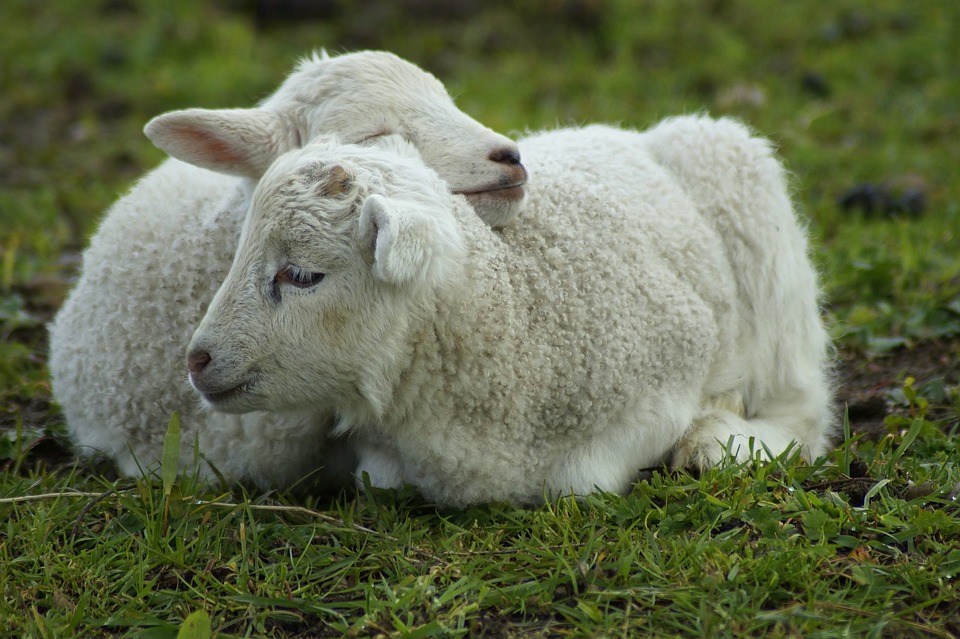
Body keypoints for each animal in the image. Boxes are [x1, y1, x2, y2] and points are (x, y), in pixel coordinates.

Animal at [186, 116, 832, 510]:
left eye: (301, 275)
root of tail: (626, 131)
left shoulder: (670, 363)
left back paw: (717, 439)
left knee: (803, 411)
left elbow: (583, 480)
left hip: (757, 223)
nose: (197, 360)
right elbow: (379, 476)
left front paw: (706, 426)